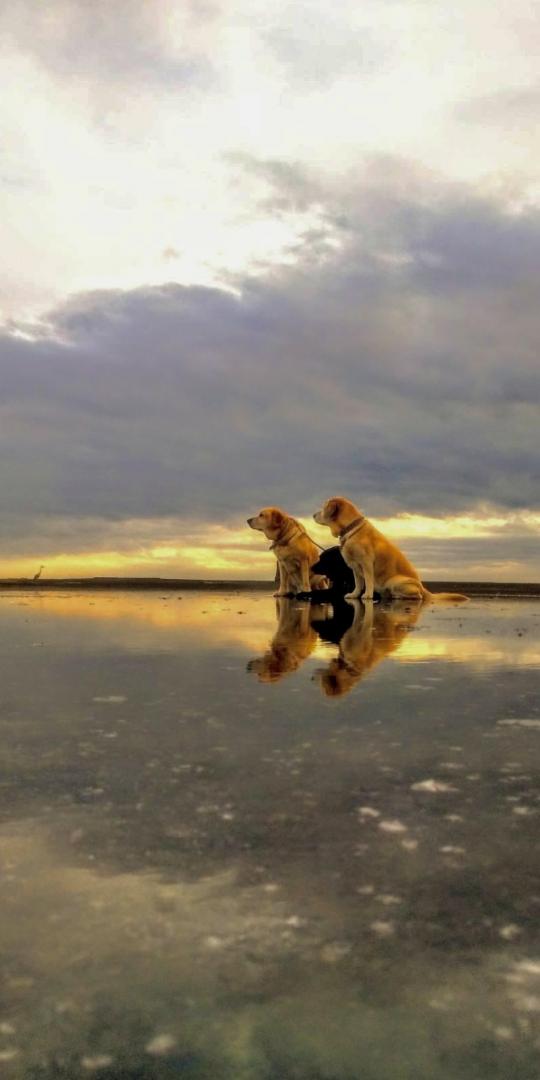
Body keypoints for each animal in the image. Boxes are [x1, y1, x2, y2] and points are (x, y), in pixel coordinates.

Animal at [315, 494, 466, 604]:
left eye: (323, 508)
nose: (313, 515)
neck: (350, 528)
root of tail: (424, 589)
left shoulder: (366, 563)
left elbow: (368, 581)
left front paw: (367, 595)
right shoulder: (355, 567)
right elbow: (358, 584)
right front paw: (354, 594)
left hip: (395, 581)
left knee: (418, 596)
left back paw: (398, 596)